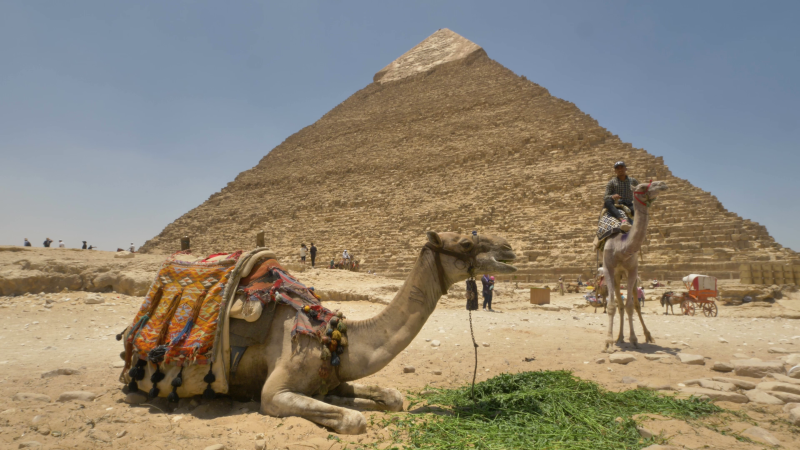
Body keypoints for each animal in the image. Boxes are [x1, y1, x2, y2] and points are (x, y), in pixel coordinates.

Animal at [227, 231, 516, 434]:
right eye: (466, 243)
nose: (509, 249)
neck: (331, 335)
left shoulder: (337, 373)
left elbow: (394, 397)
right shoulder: (273, 394)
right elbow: (355, 419)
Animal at [601, 181, 668, 352]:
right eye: (642, 187)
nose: (663, 184)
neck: (622, 247)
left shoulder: (633, 270)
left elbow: (631, 306)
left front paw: (633, 339)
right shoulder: (608, 269)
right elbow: (611, 305)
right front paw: (608, 342)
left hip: (628, 276)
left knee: (635, 305)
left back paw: (646, 335)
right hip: (617, 276)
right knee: (619, 305)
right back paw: (619, 337)